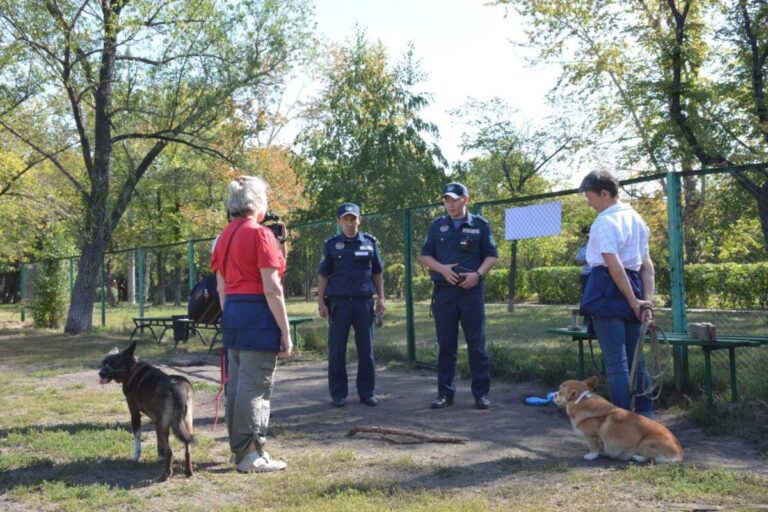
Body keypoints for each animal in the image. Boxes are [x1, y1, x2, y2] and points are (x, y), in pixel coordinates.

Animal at [98, 340, 195, 480]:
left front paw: (136, 457)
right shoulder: (156, 421)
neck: (132, 369)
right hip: (185, 423)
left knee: (170, 451)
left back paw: (166, 474)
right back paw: (188, 471)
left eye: (113, 364)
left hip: (164, 425)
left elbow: (137, 438)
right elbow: (159, 442)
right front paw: (160, 457)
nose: (100, 373)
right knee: (187, 447)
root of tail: (177, 388)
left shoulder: (135, 415)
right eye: (103, 363)